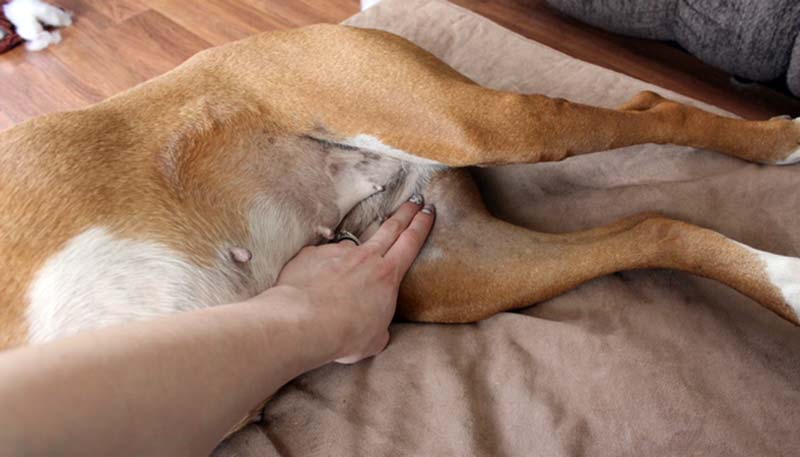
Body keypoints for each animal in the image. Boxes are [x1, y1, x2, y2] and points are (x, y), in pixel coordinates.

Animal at [1, 23, 800, 432]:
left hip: (473, 122)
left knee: (635, 114)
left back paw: (777, 141)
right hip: (469, 269)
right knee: (656, 228)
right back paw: (789, 278)